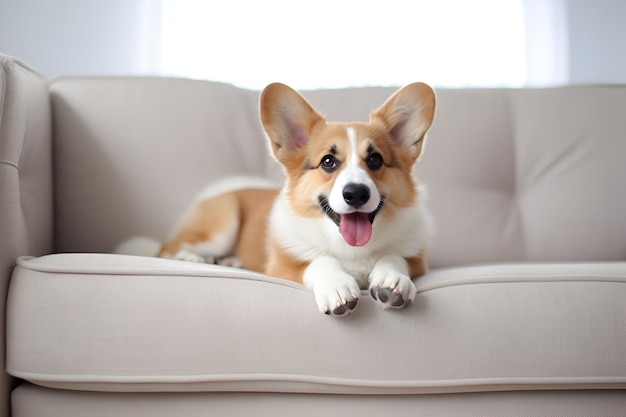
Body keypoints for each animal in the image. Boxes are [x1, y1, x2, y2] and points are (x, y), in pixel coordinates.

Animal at [144, 83, 434, 314]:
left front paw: (391, 281)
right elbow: (320, 260)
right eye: (328, 162)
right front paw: (337, 286)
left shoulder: (417, 261)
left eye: (375, 160)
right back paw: (190, 258)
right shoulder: (283, 267)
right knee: (166, 247)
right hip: (222, 224)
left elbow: (394, 257)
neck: (350, 249)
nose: (356, 193)